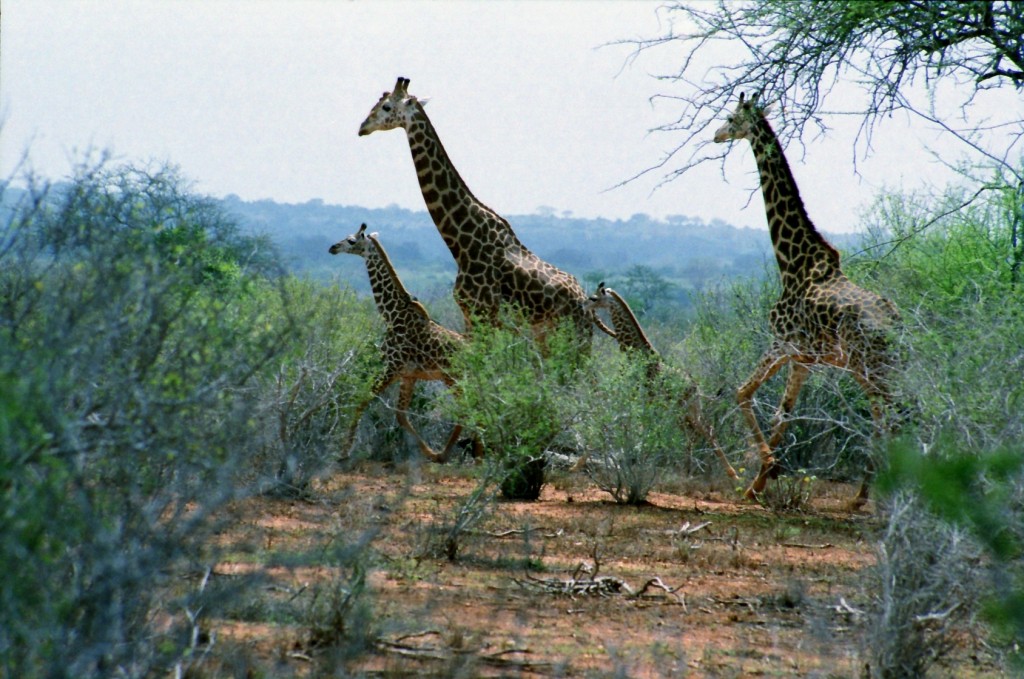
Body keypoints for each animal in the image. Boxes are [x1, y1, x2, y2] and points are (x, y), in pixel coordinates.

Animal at [331, 223, 483, 462]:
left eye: (351, 241)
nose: (333, 248)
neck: (391, 315)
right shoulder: (408, 374)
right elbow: (401, 415)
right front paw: (428, 452)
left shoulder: (392, 367)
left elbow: (363, 398)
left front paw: (344, 452)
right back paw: (472, 453)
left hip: (453, 377)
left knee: (468, 408)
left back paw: (456, 453)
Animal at [356, 76, 610, 346]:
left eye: (385, 106)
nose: (362, 127)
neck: (461, 244)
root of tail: (584, 302)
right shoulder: (469, 316)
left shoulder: (484, 314)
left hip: (574, 335)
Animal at [581, 280, 741, 483]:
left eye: (594, 298)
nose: (583, 305)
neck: (636, 353)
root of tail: (696, 387)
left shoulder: (638, 396)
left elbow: (636, 427)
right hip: (684, 412)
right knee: (694, 433)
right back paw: (688, 471)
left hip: (687, 409)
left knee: (706, 430)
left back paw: (732, 474)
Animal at [712, 91, 905, 503]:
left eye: (731, 117)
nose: (717, 134)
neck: (792, 262)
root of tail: (896, 323)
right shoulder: (805, 359)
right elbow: (784, 412)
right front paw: (760, 481)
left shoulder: (781, 342)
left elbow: (742, 393)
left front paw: (762, 475)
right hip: (879, 365)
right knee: (887, 417)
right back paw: (863, 495)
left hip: (870, 365)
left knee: (895, 416)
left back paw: (881, 498)